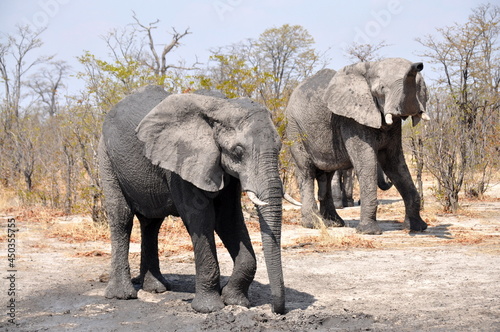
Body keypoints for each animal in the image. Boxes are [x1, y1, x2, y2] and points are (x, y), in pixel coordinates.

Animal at [98, 85, 286, 314]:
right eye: (238, 151)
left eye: (279, 147)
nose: (277, 310)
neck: (222, 106)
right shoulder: (181, 162)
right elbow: (200, 219)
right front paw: (209, 308)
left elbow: (228, 219)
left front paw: (234, 300)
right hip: (106, 156)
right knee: (121, 216)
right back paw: (122, 295)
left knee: (151, 223)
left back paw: (156, 288)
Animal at [286, 59, 430, 235]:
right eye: (381, 89)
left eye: (419, 86)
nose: (419, 65)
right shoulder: (351, 120)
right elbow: (367, 163)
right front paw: (369, 232)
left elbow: (395, 163)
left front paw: (418, 227)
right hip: (295, 129)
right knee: (306, 171)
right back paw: (313, 224)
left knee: (327, 174)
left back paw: (334, 223)